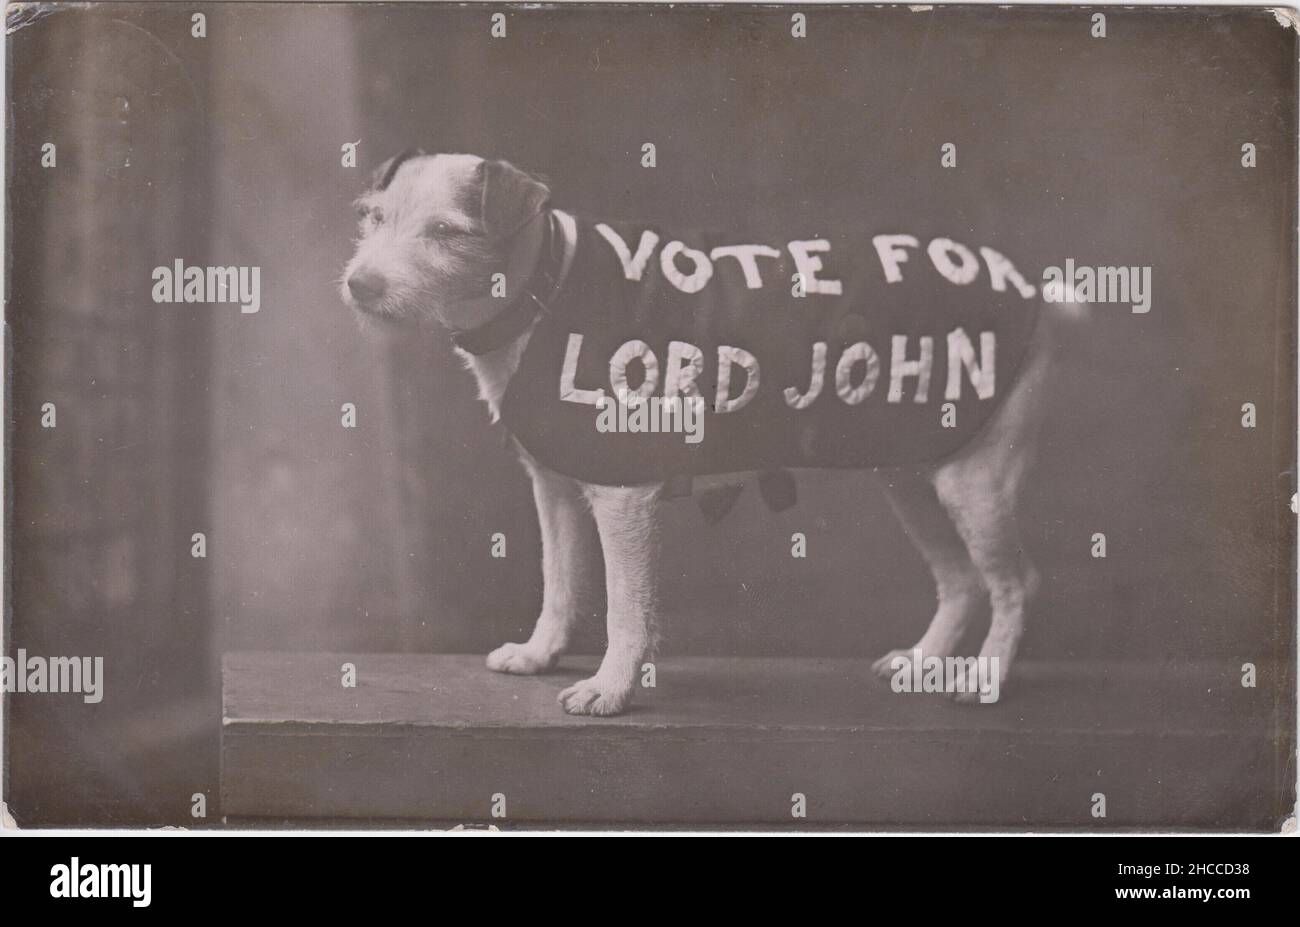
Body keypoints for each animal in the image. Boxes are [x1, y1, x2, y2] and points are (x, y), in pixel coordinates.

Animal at [340, 152, 1081, 717]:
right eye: (372, 218)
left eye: (447, 231)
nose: (359, 285)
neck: (545, 287)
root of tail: (1031, 291)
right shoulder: (553, 490)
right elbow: (559, 580)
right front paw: (539, 652)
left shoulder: (623, 499)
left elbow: (625, 607)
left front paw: (611, 687)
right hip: (910, 482)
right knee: (961, 579)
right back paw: (927, 660)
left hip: (972, 482)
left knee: (1016, 580)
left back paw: (985, 676)